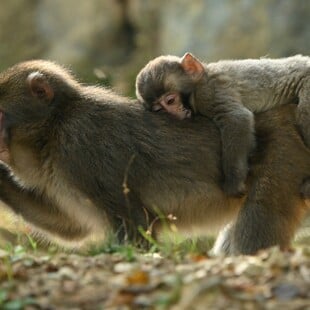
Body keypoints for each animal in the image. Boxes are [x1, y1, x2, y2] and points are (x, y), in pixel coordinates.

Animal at [136, 53, 310, 196]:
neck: (200, 80)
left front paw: (234, 182)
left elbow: (237, 118)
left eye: (170, 101)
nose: (173, 114)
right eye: (159, 110)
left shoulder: (209, 93)